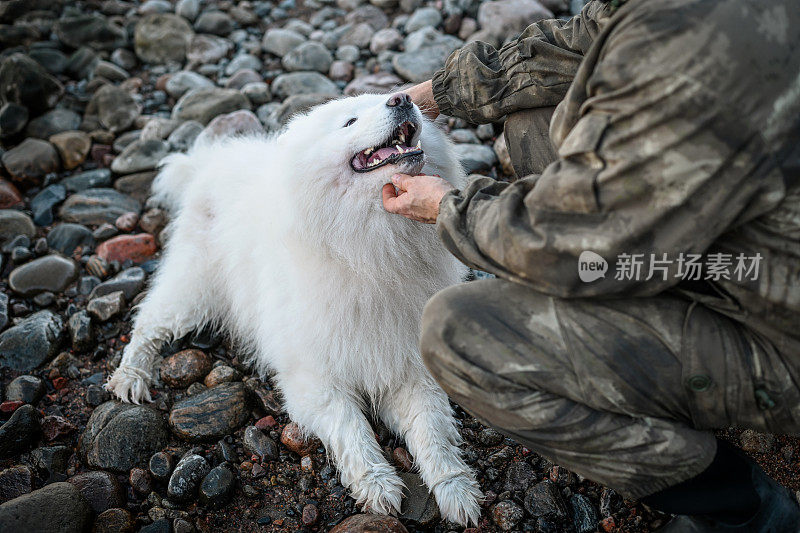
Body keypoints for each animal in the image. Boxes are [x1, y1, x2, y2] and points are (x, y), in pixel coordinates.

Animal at [105, 92, 482, 524]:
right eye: (350, 122)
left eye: (389, 95)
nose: (402, 98)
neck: (370, 251)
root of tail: (210, 161)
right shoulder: (314, 380)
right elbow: (352, 430)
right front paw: (377, 486)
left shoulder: (407, 365)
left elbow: (433, 433)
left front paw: (457, 492)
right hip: (193, 287)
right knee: (149, 323)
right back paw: (130, 376)